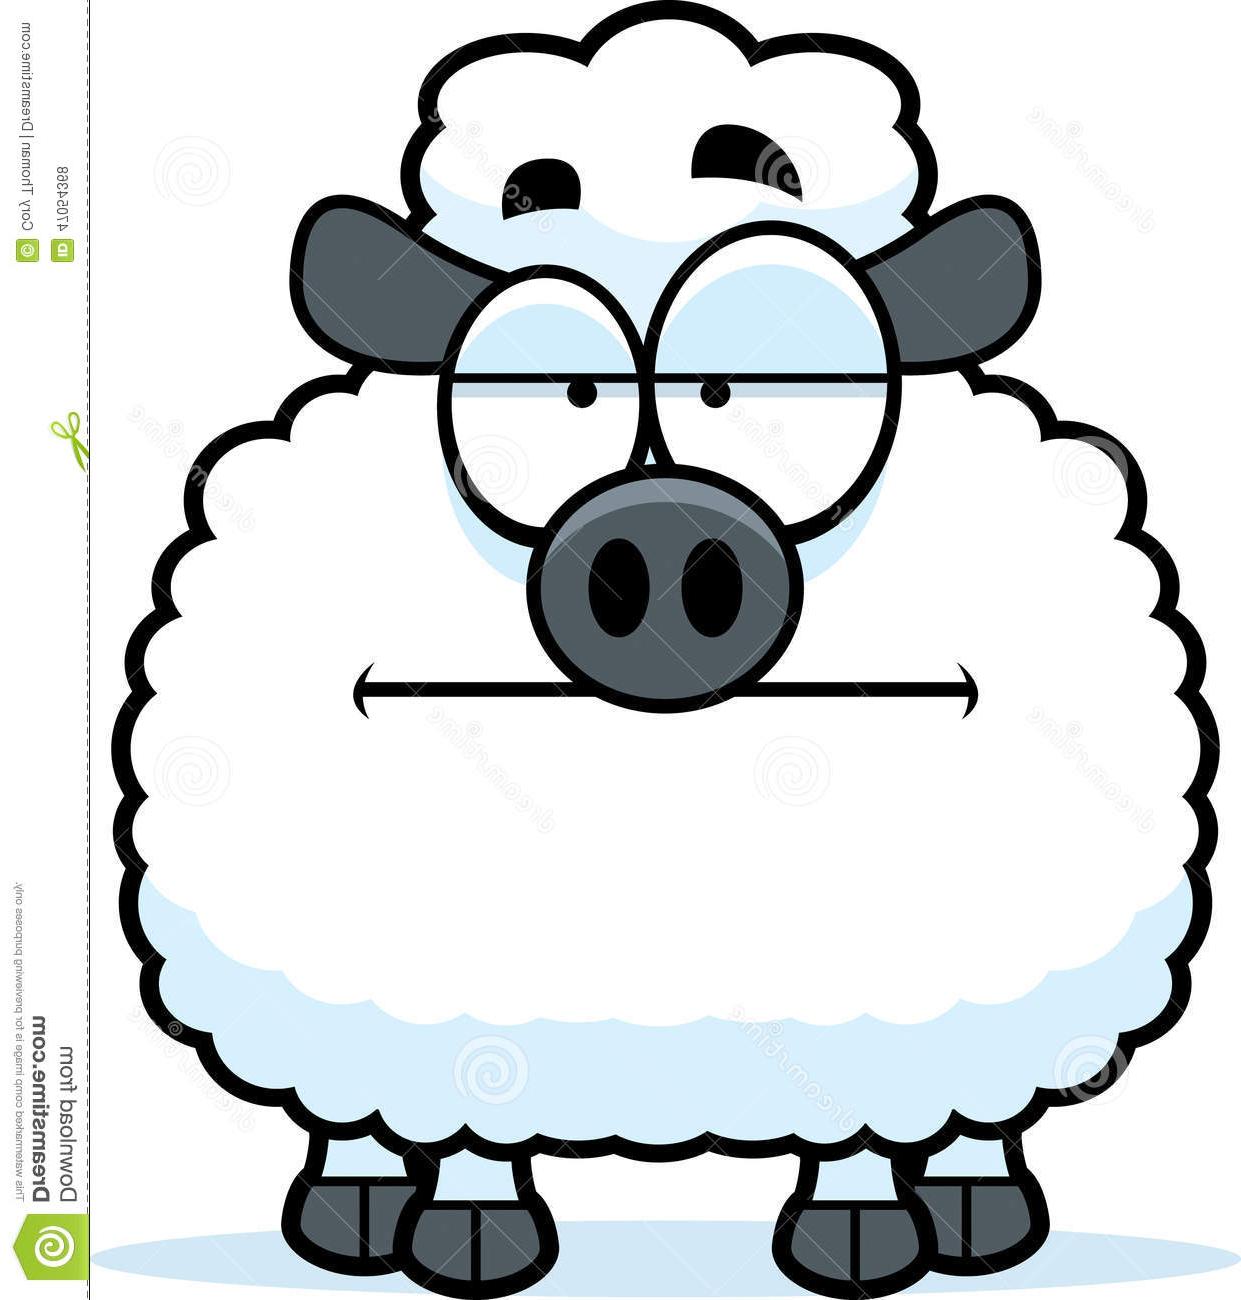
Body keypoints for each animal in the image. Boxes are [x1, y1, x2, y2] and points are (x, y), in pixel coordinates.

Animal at [114, 4, 1215, 1297]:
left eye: (764, 381)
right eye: (560, 388)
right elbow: (473, 1112)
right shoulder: (458, 984)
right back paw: (353, 1207)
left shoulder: (866, 975)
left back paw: (975, 1207)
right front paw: (471, 1232)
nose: (654, 539)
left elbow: (854, 1118)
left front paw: (856, 1232)